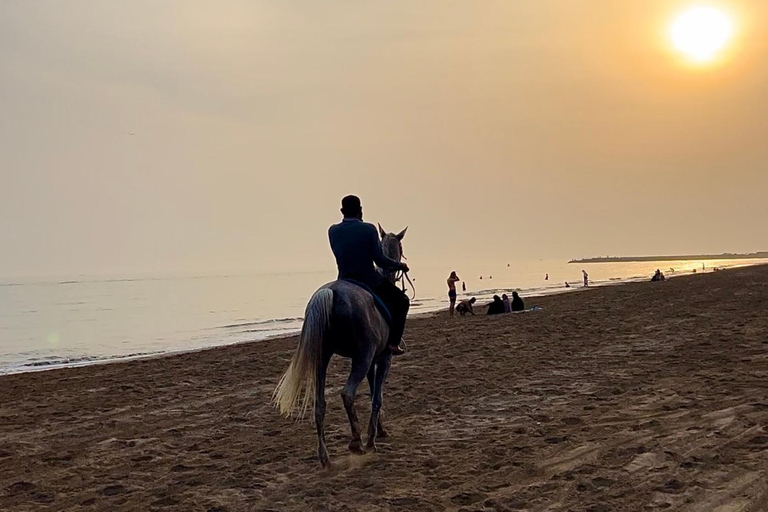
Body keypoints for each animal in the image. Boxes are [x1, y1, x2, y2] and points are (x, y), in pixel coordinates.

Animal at [274, 224, 408, 468]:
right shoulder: (382, 358)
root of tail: (331, 293)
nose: (402, 264)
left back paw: (324, 457)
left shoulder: (372, 361)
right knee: (347, 394)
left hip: (323, 359)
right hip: (361, 358)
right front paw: (373, 438)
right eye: (400, 248)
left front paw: (380, 430)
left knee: (320, 404)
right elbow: (377, 397)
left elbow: (373, 393)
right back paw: (357, 442)